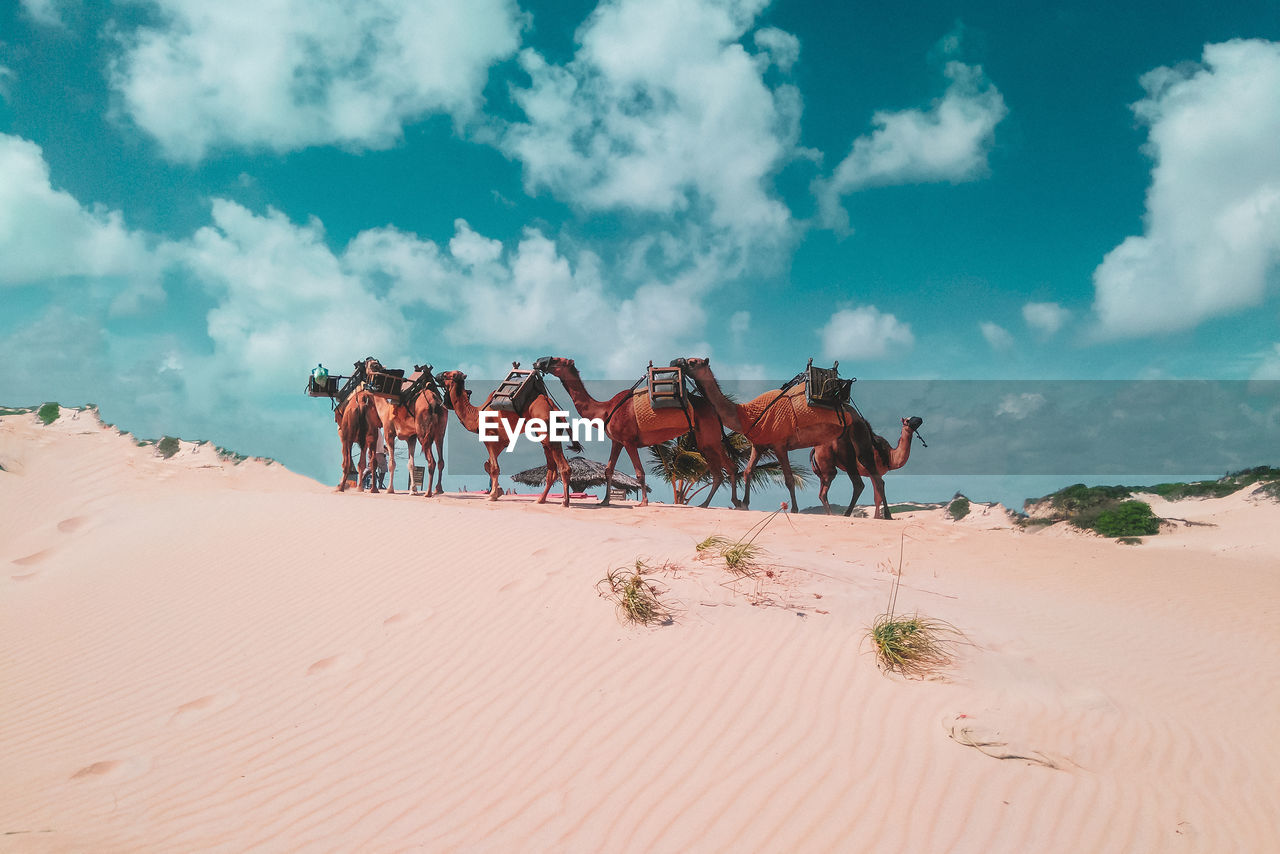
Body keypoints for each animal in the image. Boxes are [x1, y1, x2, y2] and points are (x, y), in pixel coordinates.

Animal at [440, 368, 581, 504]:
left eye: (450, 374)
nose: (439, 375)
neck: (476, 415)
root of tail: (552, 405)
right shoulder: (503, 441)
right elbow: (487, 464)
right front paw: (497, 492)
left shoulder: (489, 436)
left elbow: (494, 467)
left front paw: (492, 496)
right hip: (548, 435)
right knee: (551, 470)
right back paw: (540, 500)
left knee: (563, 468)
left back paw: (565, 502)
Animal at [529, 355, 742, 507]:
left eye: (557, 360)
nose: (538, 362)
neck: (604, 409)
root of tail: (713, 409)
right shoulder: (617, 441)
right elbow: (608, 470)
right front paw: (605, 501)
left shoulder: (629, 441)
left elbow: (639, 472)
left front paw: (644, 502)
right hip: (704, 439)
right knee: (720, 471)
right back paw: (711, 504)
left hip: (709, 437)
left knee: (728, 467)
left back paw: (733, 503)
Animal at [670, 358, 890, 517]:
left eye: (692, 362)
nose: (675, 361)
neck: (746, 415)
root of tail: (860, 417)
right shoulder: (759, 444)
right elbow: (748, 471)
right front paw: (744, 504)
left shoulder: (779, 444)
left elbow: (789, 479)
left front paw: (794, 509)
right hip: (843, 445)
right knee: (860, 482)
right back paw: (847, 514)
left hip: (858, 437)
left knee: (875, 477)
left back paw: (885, 516)